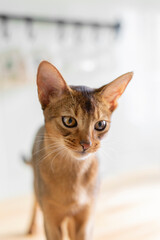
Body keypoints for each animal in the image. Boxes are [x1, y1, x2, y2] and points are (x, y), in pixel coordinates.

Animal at [27, 61, 132, 239]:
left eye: (101, 124)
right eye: (69, 121)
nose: (87, 144)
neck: (73, 173)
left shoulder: (85, 218)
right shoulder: (51, 222)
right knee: (34, 202)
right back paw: (32, 226)